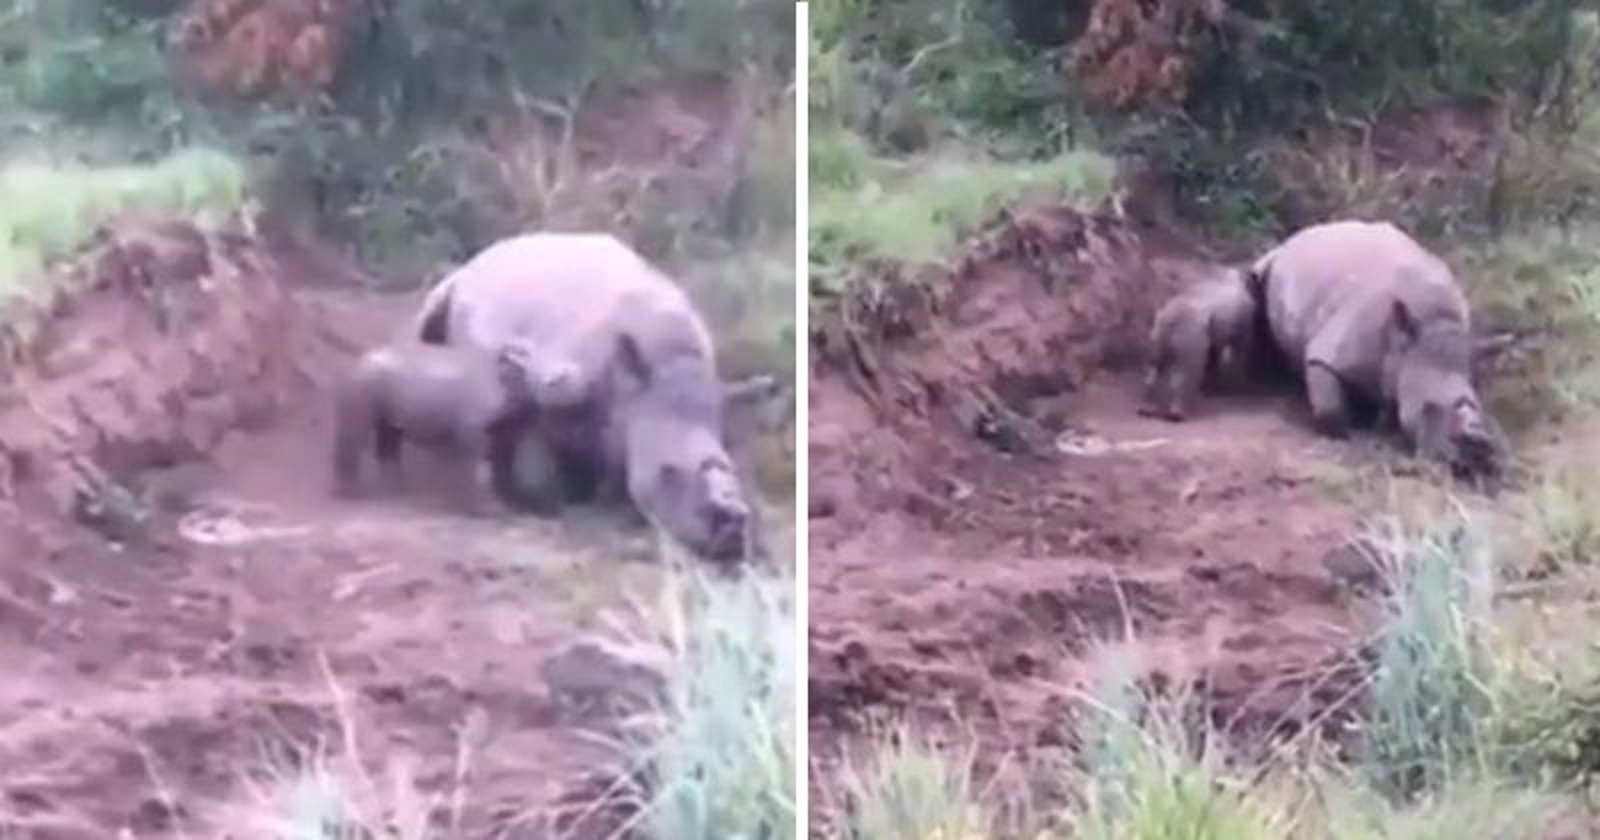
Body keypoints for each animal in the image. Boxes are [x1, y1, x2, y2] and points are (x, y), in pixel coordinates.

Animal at [328, 337, 560, 515]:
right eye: (542, 381)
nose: (554, 382)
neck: (512, 375)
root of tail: (363, 357)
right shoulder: (472, 426)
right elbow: (478, 463)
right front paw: (485, 510)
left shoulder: (507, 427)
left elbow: (502, 463)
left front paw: (509, 504)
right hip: (364, 379)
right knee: (357, 430)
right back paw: (350, 494)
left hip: (382, 380)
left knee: (390, 433)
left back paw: (396, 491)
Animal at [406, 232, 768, 560]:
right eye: (668, 472)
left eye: (731, 468)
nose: (729, 541)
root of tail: (468, 269)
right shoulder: (560, 384)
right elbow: (555, 432)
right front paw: (562, 503)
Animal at [1139, 268, 1260, 419]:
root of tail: (1173, 318)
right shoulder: (1244, 326)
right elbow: (1239, 353)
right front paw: (1238, 386)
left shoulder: (1217, 333)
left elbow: (1213, 356)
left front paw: (1210, 388)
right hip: (1189, 330)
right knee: (1187, 367)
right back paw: (1178, 414)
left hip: (1159, 329)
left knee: (1155, 362)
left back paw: (1146, 409)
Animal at [1248, 219, 1497, 473]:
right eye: (1427, 407)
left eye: (1477, 406)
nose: (1472, 460)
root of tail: (1301, 234)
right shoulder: (1331, 353)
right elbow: (1330, 405)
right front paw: (1353, 434)